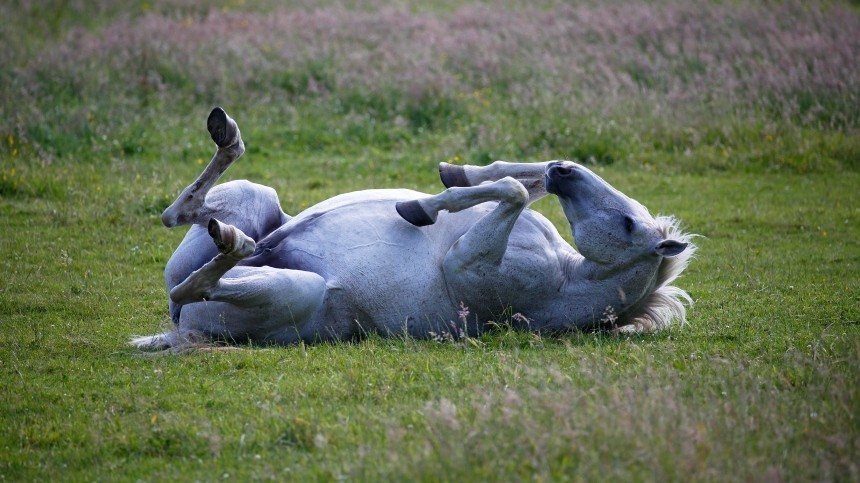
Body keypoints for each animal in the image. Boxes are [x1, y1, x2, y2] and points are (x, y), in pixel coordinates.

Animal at [129, 108, 692, 350]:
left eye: (626, 224)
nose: (566, 170)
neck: (566, 279)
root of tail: (179, 331)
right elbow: (515, 182)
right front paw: (455, 175)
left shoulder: (467, 263)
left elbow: (510, 191)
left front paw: (420, 207)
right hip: (254, 196)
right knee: (181, 216)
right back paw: (227, 147)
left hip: (291, 292)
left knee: (193, 282)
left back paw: (233, 241)